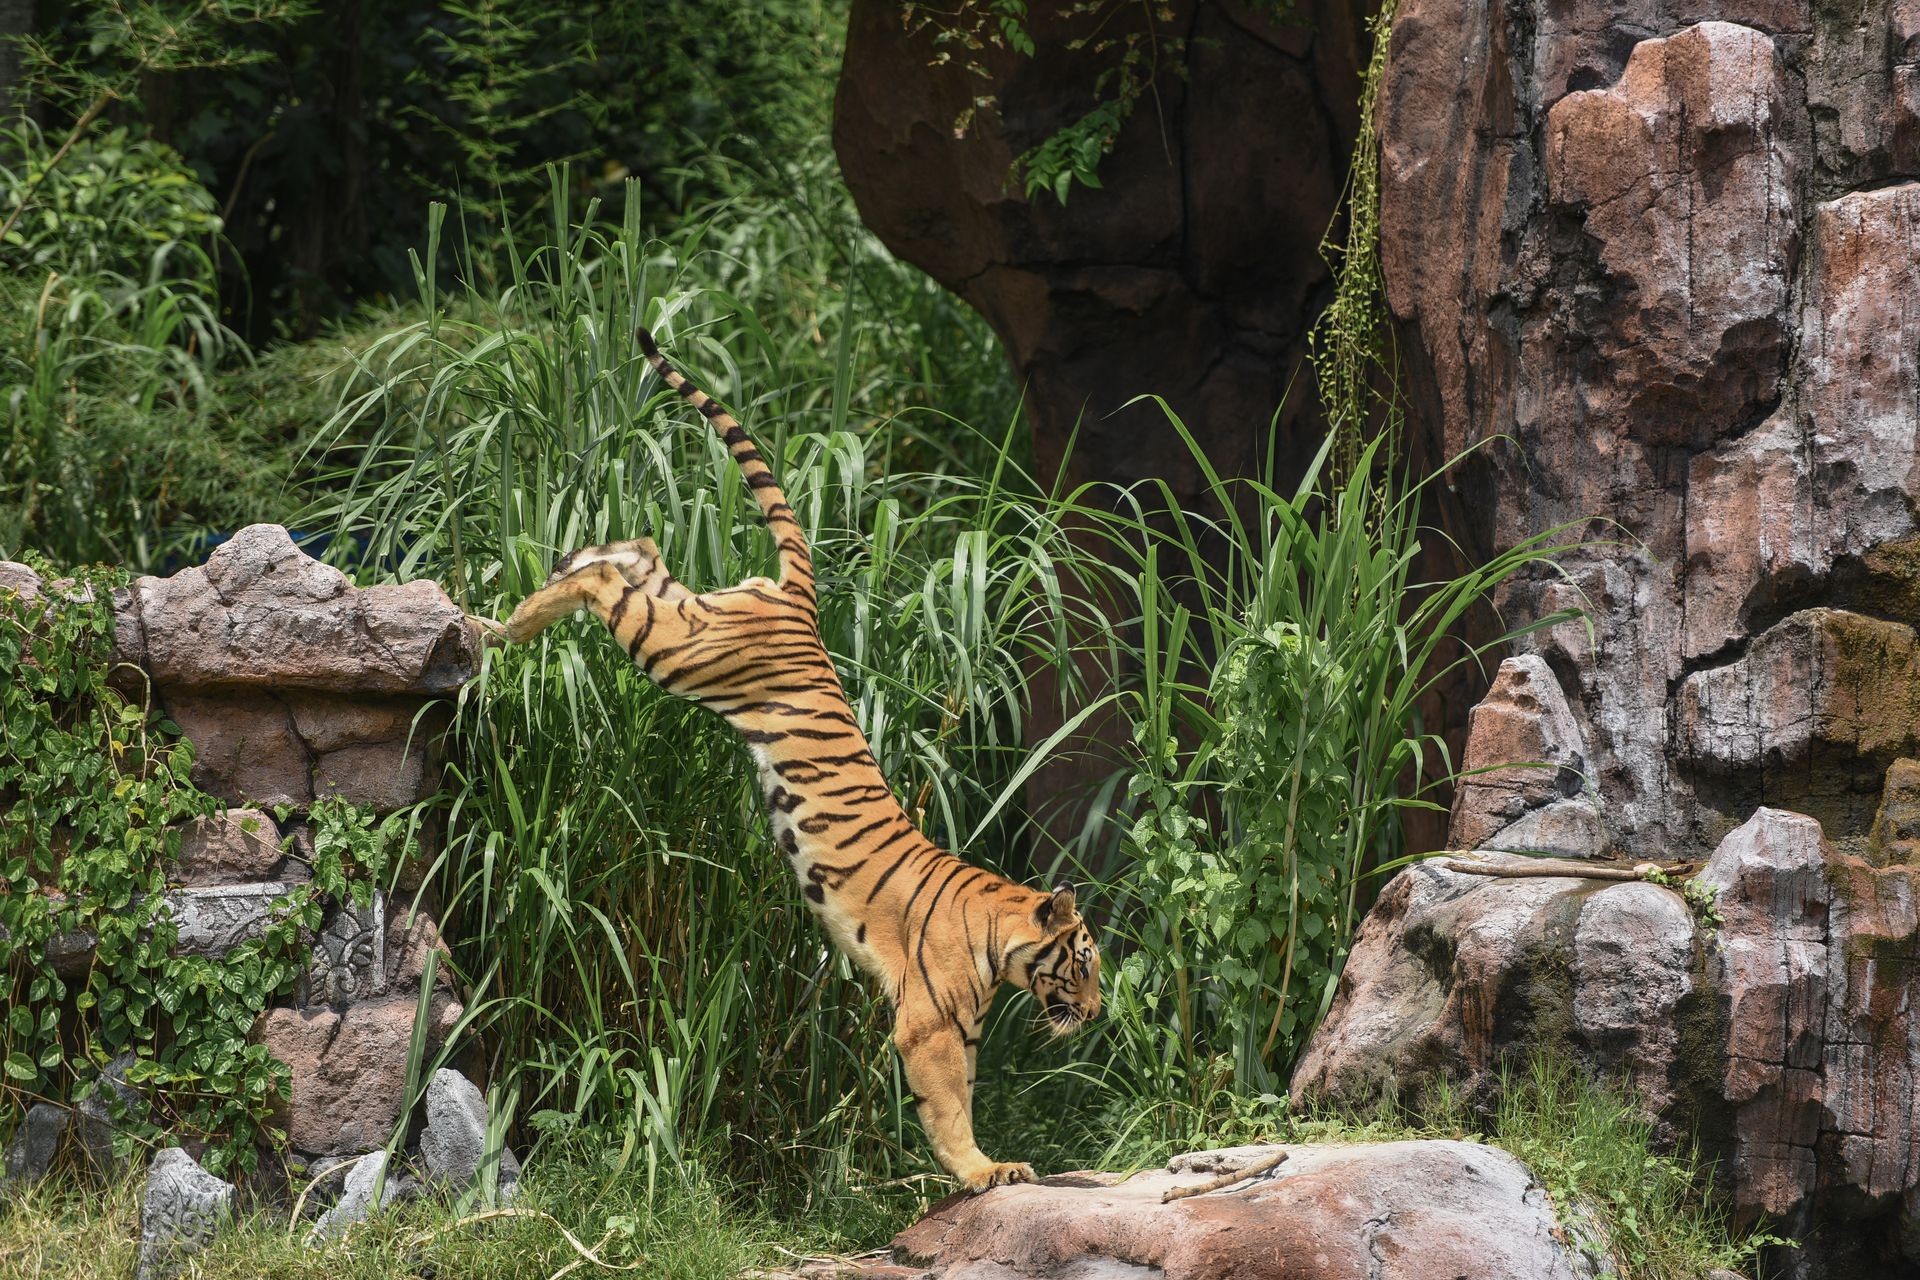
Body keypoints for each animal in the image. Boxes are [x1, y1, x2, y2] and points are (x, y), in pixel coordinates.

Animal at [503, 326, 1105, 1197]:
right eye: (1083, 965)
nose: (1095, 1015)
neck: (1001, 946)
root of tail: (796, 598)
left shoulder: (958, 1029)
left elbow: (957, 1099)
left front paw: (981, 1169)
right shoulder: (929, 1023)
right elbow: (949, 1107)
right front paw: (984, 1170)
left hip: (692, 622)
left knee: (639, 553)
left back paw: (556, 568)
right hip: (682, 652)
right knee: (613, 584)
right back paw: (513, 619)